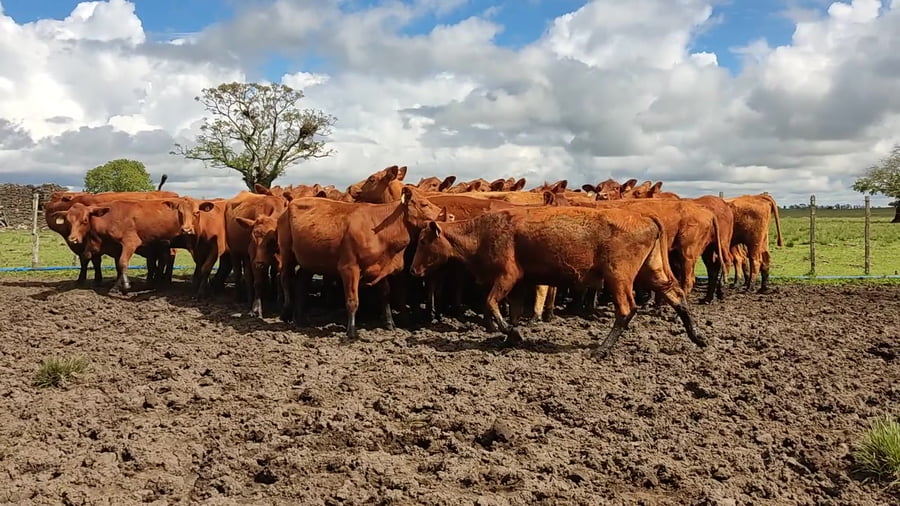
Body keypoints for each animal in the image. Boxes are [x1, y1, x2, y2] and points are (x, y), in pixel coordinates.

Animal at [277, 186, 443, 338]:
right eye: (424, 204)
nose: (444, 214)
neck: (377, 227)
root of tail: (290, 204)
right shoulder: (349, 269)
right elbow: (352, 301)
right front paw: (351, 331)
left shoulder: (378, 266)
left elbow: (385, 293)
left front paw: (389, 323)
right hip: (287, 253)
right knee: (285, 278)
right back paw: (285, 312)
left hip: (309, 260)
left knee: (301, 283)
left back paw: (300, 319)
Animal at [409, 206, 704, 357]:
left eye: (423, 242)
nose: (412, 270)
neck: (483, 232)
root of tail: (645, 217)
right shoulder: (519, 283)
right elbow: (513, 310)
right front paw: (510, 338)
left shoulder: (507, 275)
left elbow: (491, 303)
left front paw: (513, 334)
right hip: (652, 270)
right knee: (677, 296)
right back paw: (698, 337)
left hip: (618, 276)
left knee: (626, 310)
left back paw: (600, 350)